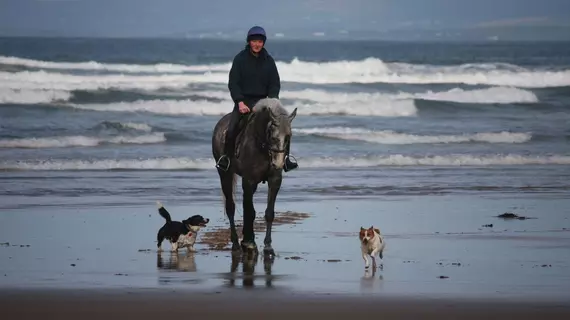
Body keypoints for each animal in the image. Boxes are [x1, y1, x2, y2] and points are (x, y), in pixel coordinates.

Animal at [210, 97, 298, 258]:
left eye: (288, 137)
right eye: (273, 137)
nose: (278, 164)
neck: (262, 146)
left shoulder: (274, 181)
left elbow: (269, 213)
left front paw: (268, 247)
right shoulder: (248, 181)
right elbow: (250, 211)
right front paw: (250, 243)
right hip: (225, 174)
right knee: (231, 207)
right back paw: (236, 244)